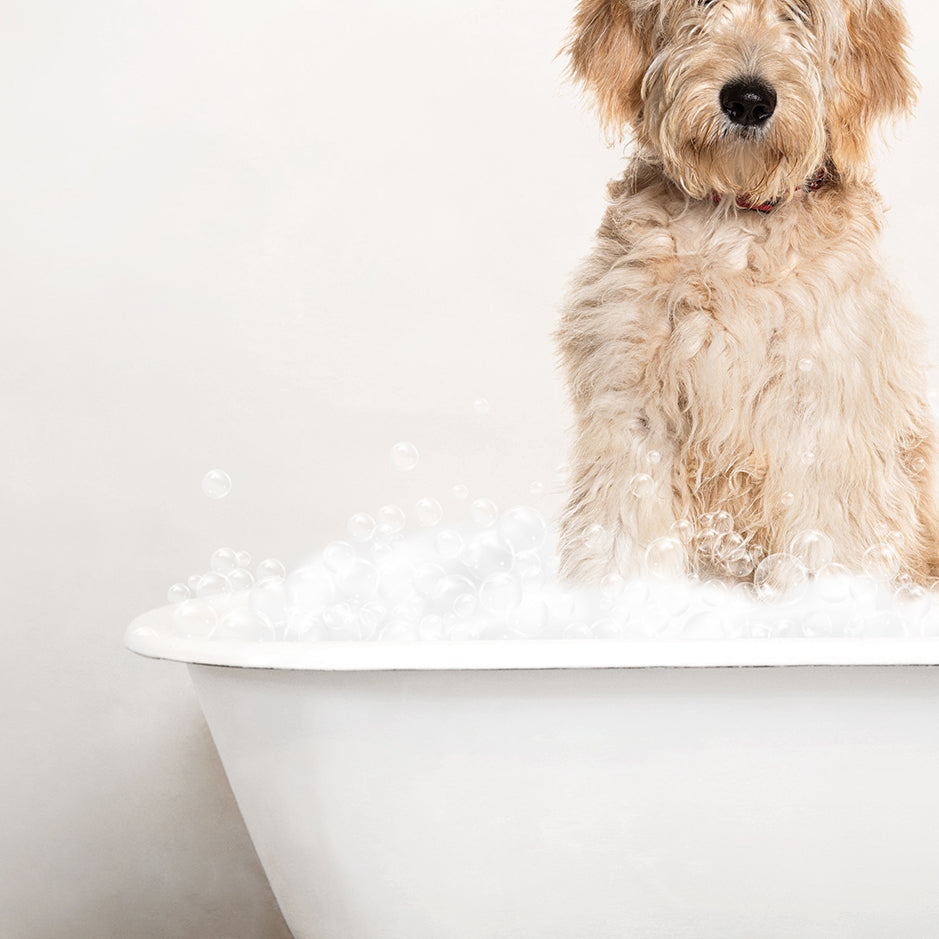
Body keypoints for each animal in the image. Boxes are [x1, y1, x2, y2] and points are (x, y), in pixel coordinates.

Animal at [556, 0, 939, 588]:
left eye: (800, 12)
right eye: (700, 6)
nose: (749, 101)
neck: (735, 223)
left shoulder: (823, 417)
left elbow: (826, 540)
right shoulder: (634, 408)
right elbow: (623, 529)